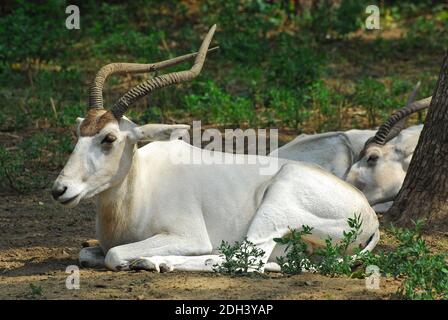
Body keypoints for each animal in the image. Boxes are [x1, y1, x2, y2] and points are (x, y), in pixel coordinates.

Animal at [53, 25, 382, 272]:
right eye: (79, 131)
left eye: (109, 138)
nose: (60, 190)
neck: (141, 184)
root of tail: (369, 215)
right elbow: (85, 253)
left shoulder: (188, 235)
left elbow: (115, 254)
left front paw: (134, 260)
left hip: (276, 204)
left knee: (246, 259)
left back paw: (152, 261)